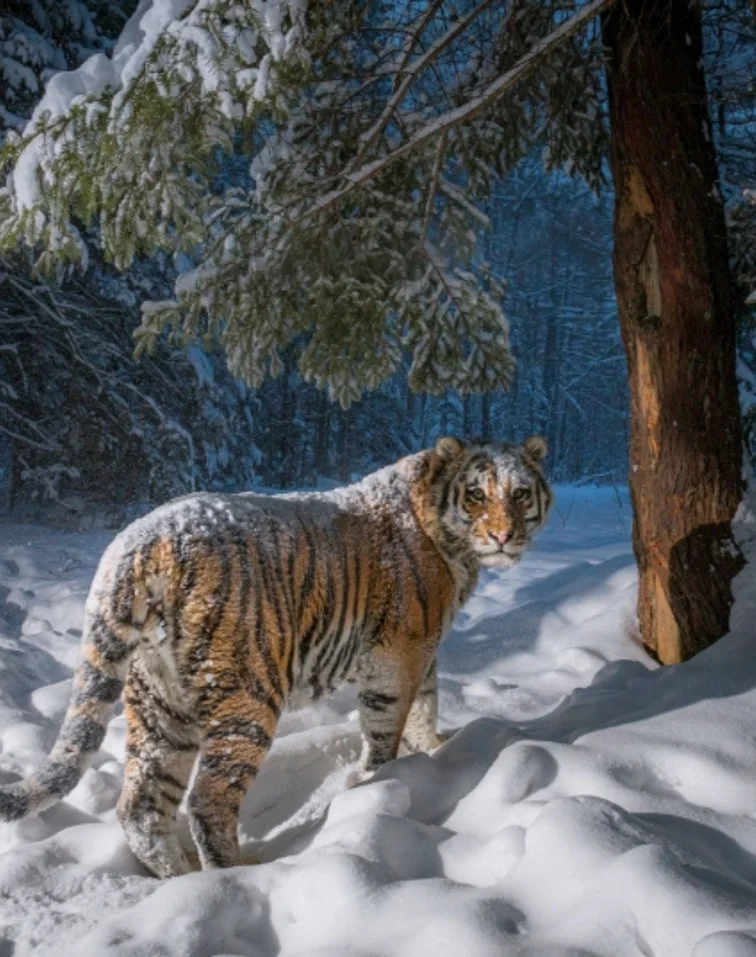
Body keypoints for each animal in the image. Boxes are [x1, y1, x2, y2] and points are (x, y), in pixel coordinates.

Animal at [0, 435, 552, 879]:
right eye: (476, 494)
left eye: (520, 494)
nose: (503, 536)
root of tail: (135, 544)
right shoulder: (398, 654)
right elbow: (388, 726)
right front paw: (378, 783)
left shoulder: (424, 651)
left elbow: (425, 707)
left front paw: (434, 751)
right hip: (247, 695)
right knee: (208, 802)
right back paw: (237, 876)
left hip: (160, 703)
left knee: (141, 806)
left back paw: (179, 879)